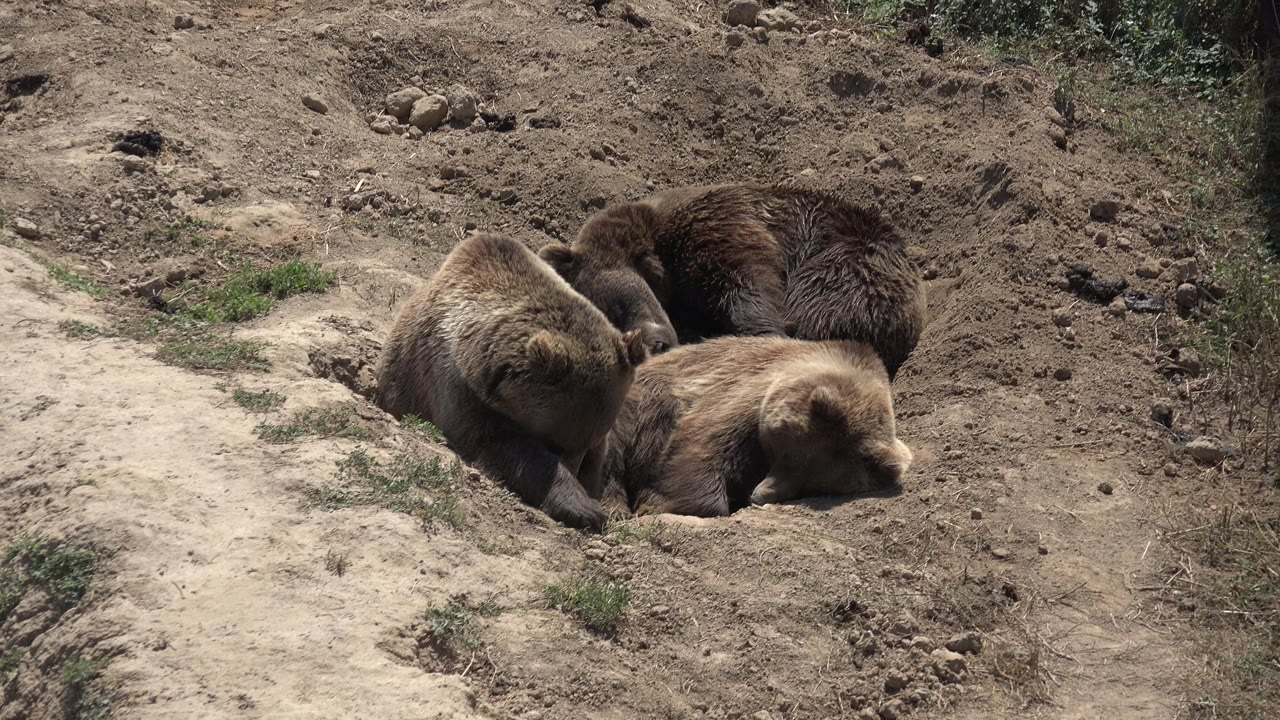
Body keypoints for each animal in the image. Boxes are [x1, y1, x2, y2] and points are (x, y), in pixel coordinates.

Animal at [375, 232, 648, 531]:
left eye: (588, 450)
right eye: (555, 445)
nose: (576, 469)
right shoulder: (456, 383)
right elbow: (500, 444)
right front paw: (584, 508)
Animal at [599, 336, 913, 518]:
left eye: (814, 485)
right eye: (787, 454)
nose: (759, 495)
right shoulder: (749, 392)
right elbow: (704, 443)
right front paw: (662, 504)